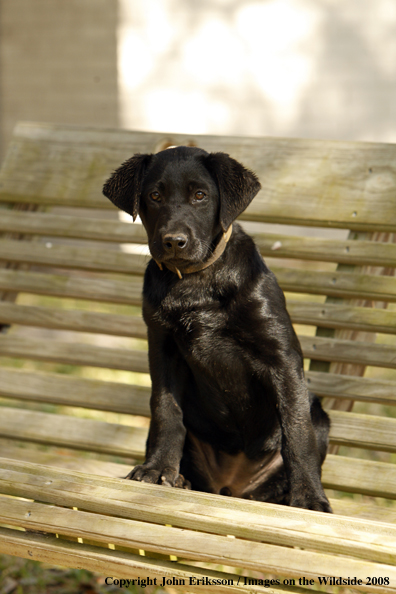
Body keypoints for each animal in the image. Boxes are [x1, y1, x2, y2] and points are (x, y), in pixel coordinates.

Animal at [104, 147, 332, 508]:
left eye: (200, 195)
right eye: (154, 196)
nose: (174, 241)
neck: (196, 282)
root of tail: (230, 487)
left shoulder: (281, 358)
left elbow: (297, 432)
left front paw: (309, 496)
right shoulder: (163, 348)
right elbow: (166, 412)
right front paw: (157, 470)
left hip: (319, 415)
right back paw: (180, 479)